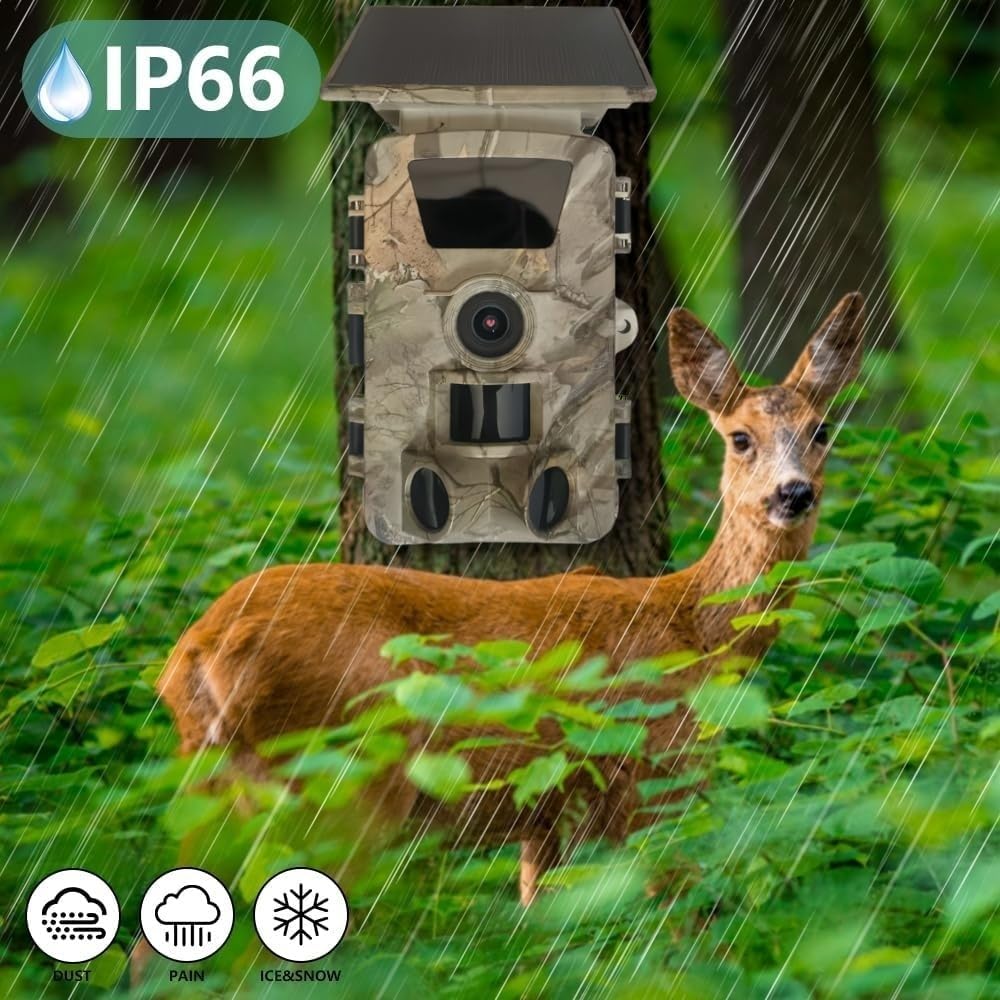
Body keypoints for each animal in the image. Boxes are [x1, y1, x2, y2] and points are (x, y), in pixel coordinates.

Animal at [155, 292, 864, 911]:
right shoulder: (658, 777)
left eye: (822, 429)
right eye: (741, 437)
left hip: (217, 785)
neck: (694, 630)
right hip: (343, 781)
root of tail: (199, 648)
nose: (793, 493)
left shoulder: (549, 816)